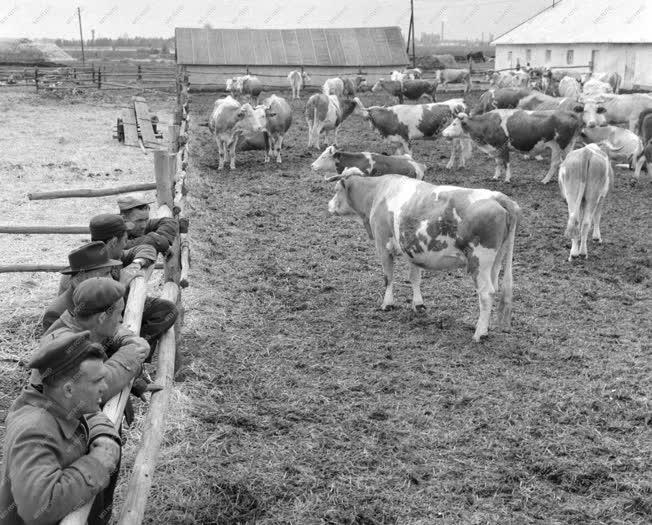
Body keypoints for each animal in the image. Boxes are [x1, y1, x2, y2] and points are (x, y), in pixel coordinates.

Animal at [328, 172, 524, 342]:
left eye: (336, 190)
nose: (328, 205)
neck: (379, 191)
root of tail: (497, 196)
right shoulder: (413, 250)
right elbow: (414, 278)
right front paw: (418, 305)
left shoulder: (383, 245)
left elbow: (388, 277)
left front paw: (387, 304)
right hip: (496, 261)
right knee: (494, 289)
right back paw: (486, 329)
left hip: (479, 261)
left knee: (486, 294)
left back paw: (479, 333)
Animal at [444, 108, 580, 182]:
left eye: (454, 124)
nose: (443, 132)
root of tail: (569, 113)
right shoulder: (496, 148)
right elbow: (498, 163)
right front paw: (495, 177)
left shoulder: (503, 147)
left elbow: (506, 164)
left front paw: (507, 179)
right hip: (568, 146)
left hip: (559, 146)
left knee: (555, 163)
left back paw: (545, 180)